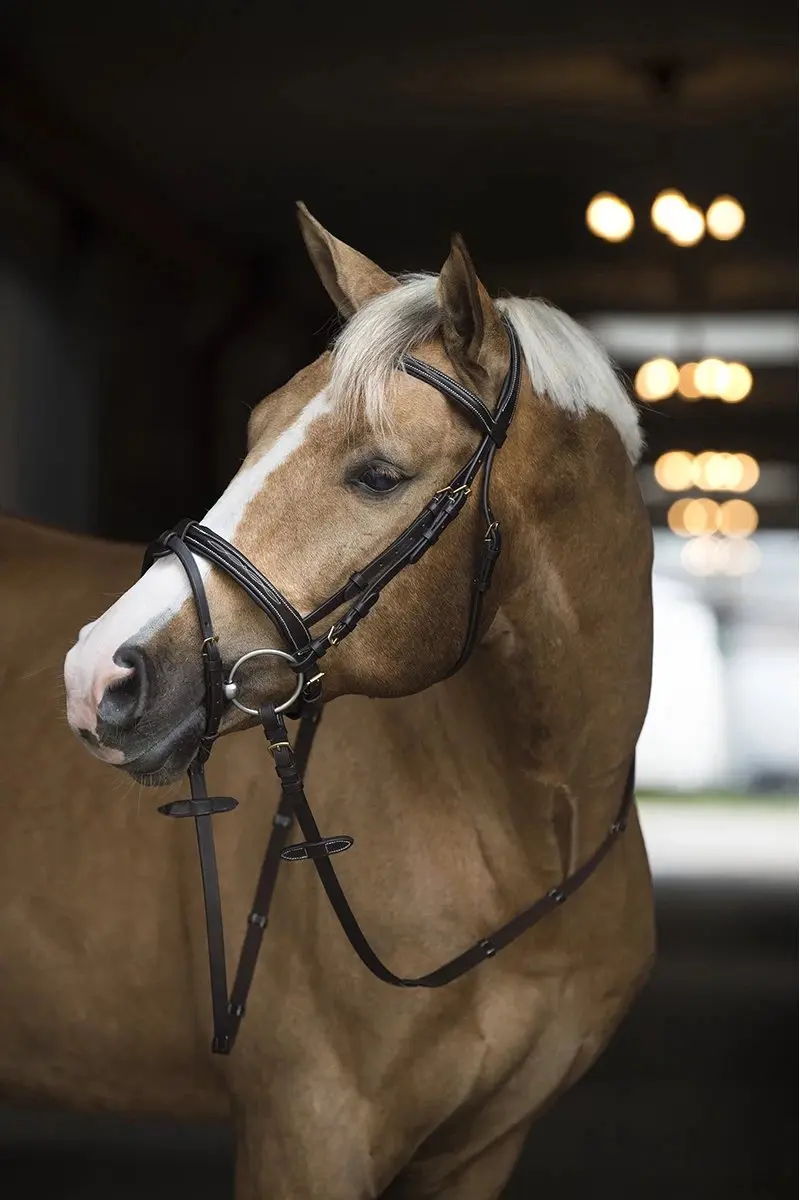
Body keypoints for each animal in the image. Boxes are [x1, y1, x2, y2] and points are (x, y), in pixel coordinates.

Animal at [27, 205, 653, 1198]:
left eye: (380, 475)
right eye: (255, 426)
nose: (100, 677)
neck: (531, 823)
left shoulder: (483, 1151)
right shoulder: (309, 1136)